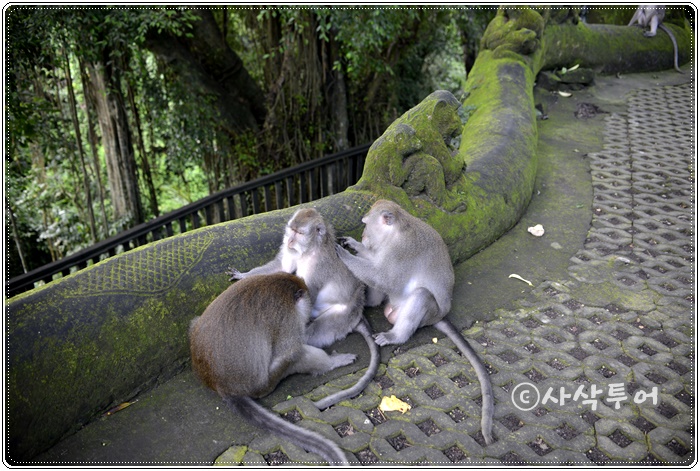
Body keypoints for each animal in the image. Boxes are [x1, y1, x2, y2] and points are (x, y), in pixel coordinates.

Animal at [189, 273, 352, 465]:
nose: (308, 316)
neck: (280, 286)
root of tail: (221, 386)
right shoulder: (288, 320)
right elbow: (291, 350)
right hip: (267, 383)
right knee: (296, 353)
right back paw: (332, 362)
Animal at [227, 207, 380, 410]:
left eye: (299, 233)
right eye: (291, 230)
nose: (290, 241)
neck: (310, 250)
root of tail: (358, 313)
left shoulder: (316, 268)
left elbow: (308, 294)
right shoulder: (292, 253)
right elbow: (282, 267)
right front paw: (243, 276)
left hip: (342, 317)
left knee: (308, 334)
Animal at [335, 199, 494, 445]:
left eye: (367, 224)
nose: (362, 236)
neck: (396, 231)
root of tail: (440, 316)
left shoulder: (400, 251)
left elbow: (384, 277)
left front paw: (343, 253)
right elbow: (376, 266)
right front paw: (352, 245)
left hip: (427, 313)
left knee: (420, 294)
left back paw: (395, 336)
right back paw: (369, 302)